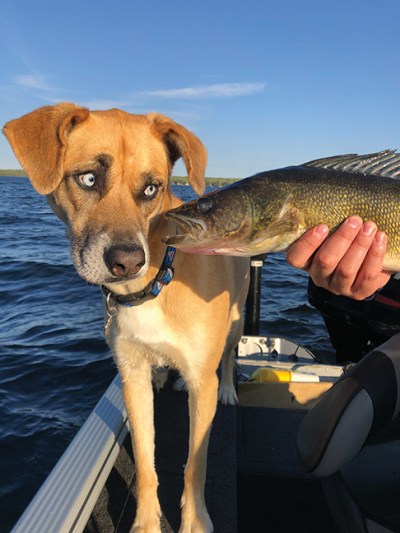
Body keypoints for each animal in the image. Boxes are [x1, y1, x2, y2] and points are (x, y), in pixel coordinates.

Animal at [3, 104, 250, 532]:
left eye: (152, 188)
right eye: (88, 178)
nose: (127, 262)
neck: (156, 283)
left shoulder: (202, 382)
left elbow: (195, 465)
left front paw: (194, 521)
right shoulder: (132, 375)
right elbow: (146, 461)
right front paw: (147, 523)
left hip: (233, 324)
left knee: (230, 356)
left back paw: (229, 390)